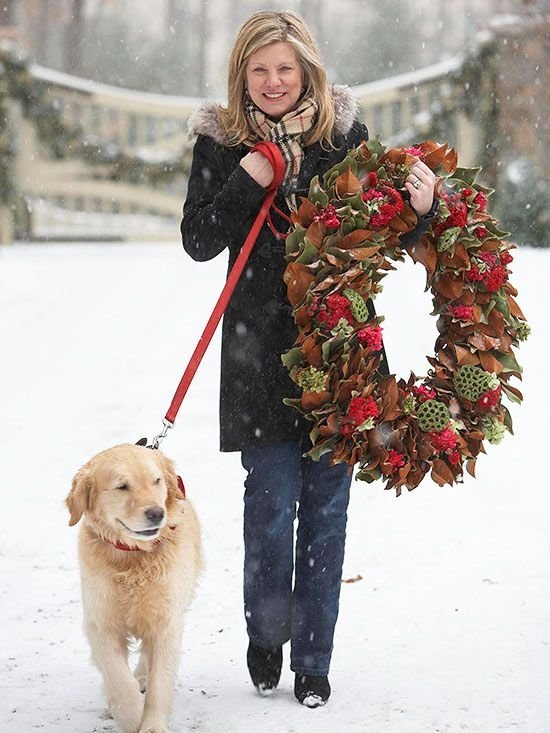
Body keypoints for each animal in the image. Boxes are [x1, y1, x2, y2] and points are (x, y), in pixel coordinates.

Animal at [66, 444, 202, 732]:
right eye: (122, 486)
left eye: (156, 481)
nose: (157, 513)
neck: (131, 557)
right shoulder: (100, 622)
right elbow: (118, 678)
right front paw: (130, 716)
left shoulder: (167, 621)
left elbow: (160, 682)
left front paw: (152, 725)